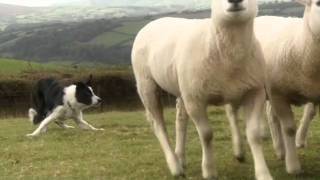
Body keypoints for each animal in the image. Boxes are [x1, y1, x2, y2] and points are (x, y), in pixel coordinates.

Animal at [131, 0, 272, 179]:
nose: (234, 1)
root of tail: (154, 21)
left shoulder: (255, 92)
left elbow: (254, 135)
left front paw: (263, 173)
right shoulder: (195, 100)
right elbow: (206, 134)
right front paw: (209, 170)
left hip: (181, 88)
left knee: (180, 120)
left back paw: (180, 158)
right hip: (146, 84)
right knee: (158, 125)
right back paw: (175, 166)